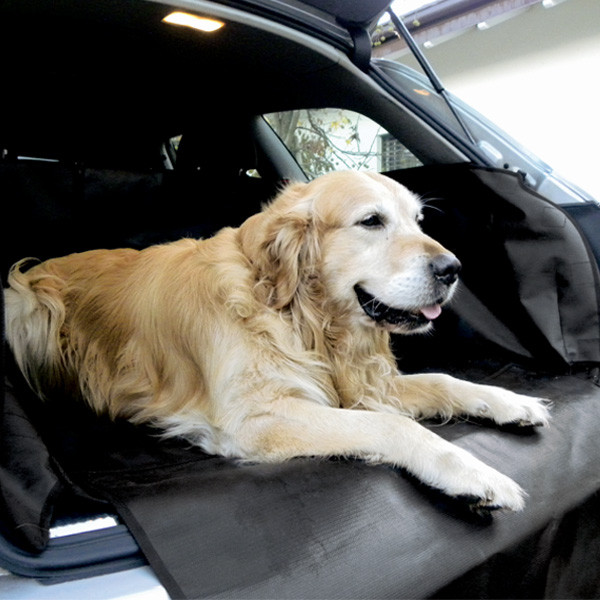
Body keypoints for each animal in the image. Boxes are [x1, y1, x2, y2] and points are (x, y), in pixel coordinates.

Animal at [3, 169, 548, 510]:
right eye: (371, 221)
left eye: (418, 220)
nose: (453, 268)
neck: (303, 317)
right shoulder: (257, 419)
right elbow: (392, 426)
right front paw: (476, 476)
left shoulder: (364, 379)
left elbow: (444, 380)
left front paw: (512, 402)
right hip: (25, 301)